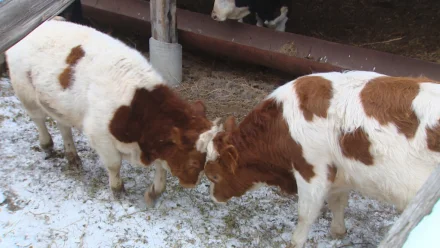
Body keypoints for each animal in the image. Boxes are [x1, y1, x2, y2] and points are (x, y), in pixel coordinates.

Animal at [3, 18, 217, 205]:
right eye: (192, 161)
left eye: (205, 158)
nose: (192, 183)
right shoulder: (100, 137)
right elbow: (114, 165)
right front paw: (118, 191)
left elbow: (162, 166)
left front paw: (154, 192)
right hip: (26, 93)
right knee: (38, 119)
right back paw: (47, 145)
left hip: (58, 104)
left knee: (63, 127)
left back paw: (72, 157)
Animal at [199, 70, 440, 248]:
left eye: (214, 176)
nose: (213, 197)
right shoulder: (339, 170)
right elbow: (337, 201)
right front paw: (338, 231)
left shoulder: (312, 170)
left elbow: (306, 213)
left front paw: (295, 243)